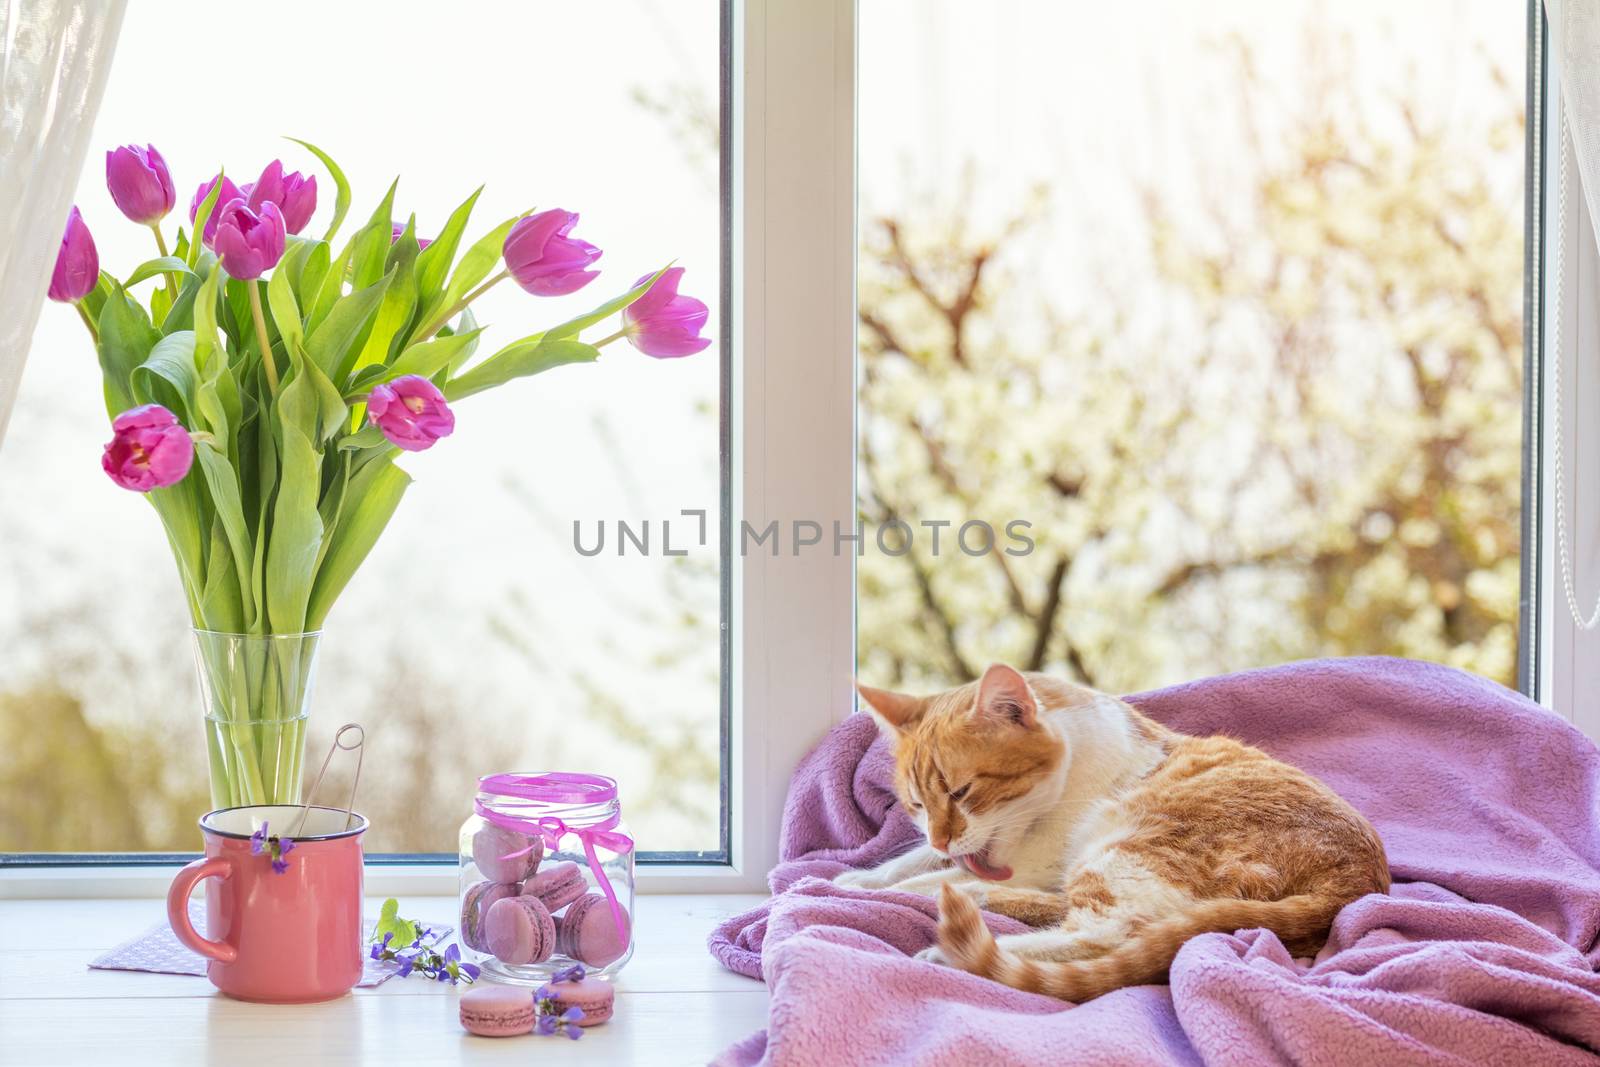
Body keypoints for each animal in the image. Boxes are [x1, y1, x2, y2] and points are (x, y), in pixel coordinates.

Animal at [851, 662, 1388, 1004]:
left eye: (962, 792)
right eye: (917, 804)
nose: (941, 837)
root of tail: (1362, 881)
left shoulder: (1032, 862)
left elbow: (931, 876)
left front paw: (895, 888)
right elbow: (913, 862)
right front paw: (861, 879)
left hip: (1128, 845)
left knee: (1106, 937)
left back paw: (948, 951)